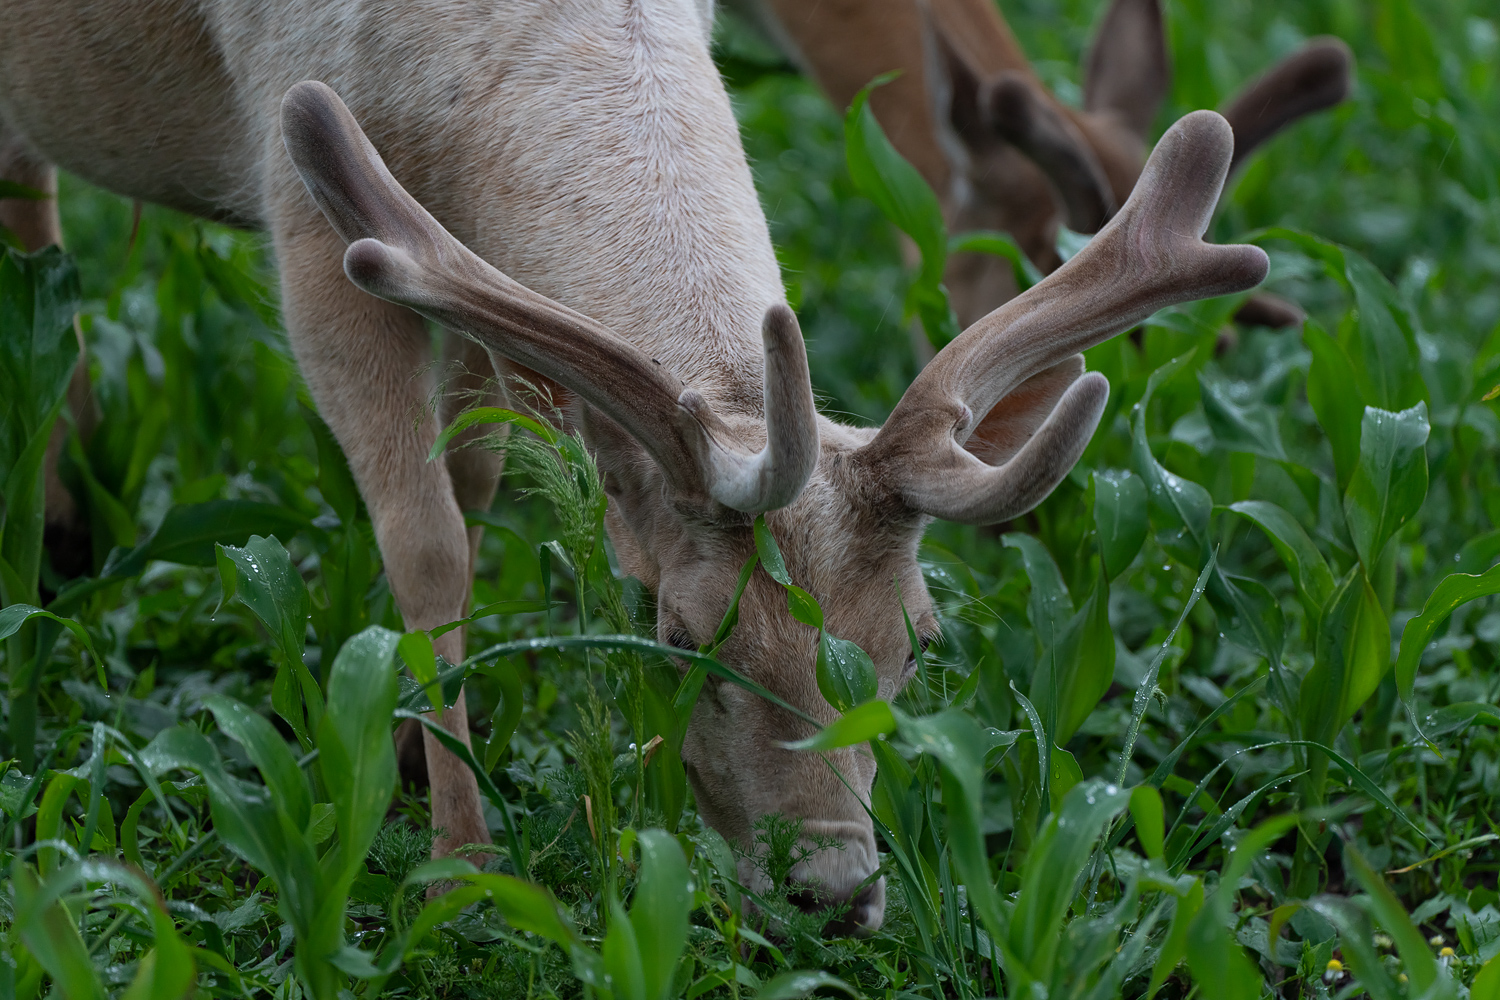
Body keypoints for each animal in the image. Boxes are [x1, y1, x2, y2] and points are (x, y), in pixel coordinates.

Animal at [0, 0, 1266, 929]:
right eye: (679, 634)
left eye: (921, 642)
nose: (834, 892)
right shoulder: (305, 187)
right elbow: (428, 540)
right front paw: (462, 861)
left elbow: (478, 481)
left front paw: (417, 748)